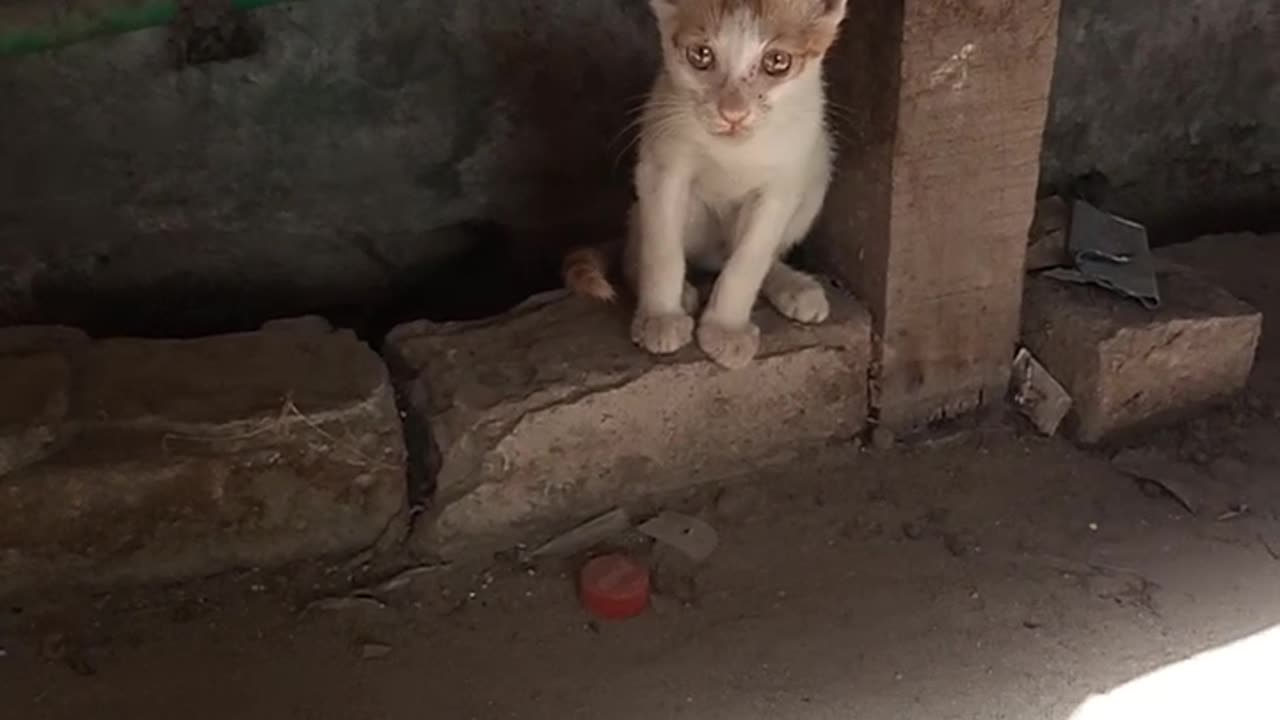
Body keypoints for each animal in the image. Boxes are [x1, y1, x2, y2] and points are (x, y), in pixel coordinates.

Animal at [563, 0, 844, 366]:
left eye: (777, 61)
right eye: (701, 54)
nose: (733, 113)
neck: (735, 151)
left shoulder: (782, 184)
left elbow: (750, 258)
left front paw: (726, 328)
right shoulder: (662, 164)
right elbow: (662, 249)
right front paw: (660, 317)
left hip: (818, 168)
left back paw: (793, 285)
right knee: (635, 248)